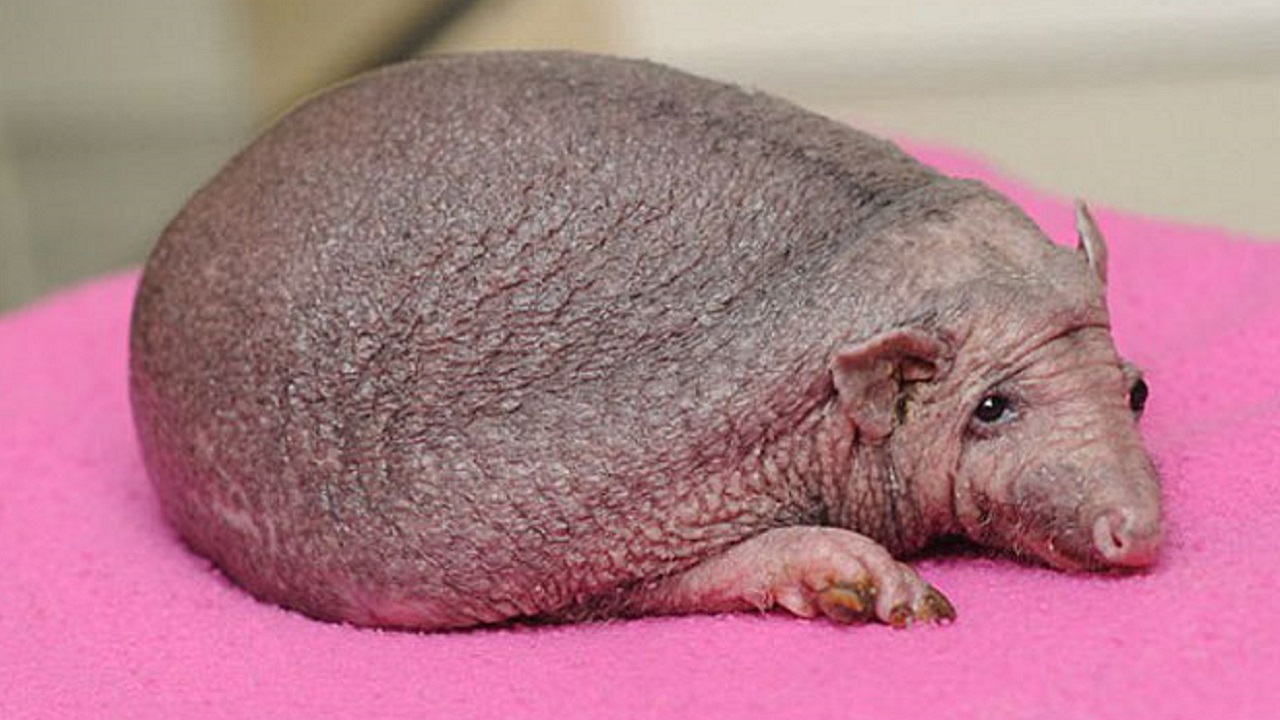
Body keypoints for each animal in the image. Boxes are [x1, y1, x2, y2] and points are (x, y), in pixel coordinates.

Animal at [128, 51, 1162, 631]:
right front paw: (858, 577)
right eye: (993, 407)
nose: (1138, 530)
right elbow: (621, 579)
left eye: (1139, 390)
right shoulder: (593, 487)